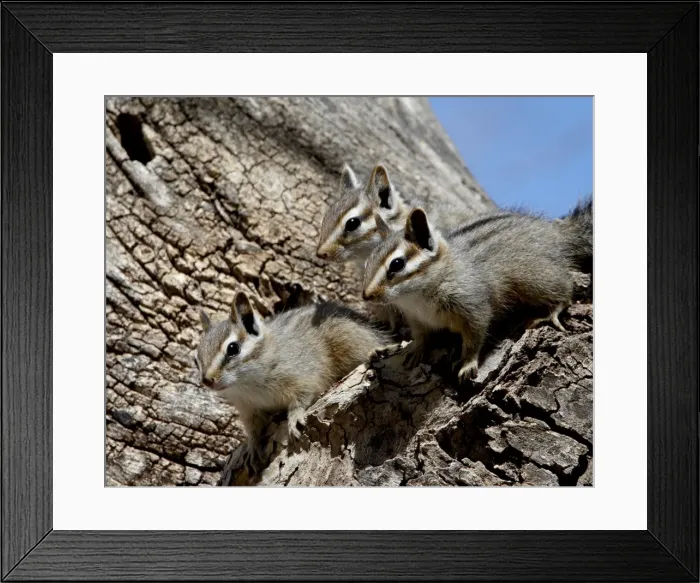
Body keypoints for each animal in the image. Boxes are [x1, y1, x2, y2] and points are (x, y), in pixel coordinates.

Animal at [195, 291, 390, 474]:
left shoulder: (304, 375)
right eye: (197, 358)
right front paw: (252, 446)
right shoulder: (249, 409)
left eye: (233, 348)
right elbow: (253, 429)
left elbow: (301, 398)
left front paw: (294, 417)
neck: (247, 385)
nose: (207, 381)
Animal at [361, 198, 593, 383]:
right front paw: (415, 349)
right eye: (367, 261)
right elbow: (421, 335)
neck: (415, 297)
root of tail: (556, 232)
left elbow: (474, 337)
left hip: (535, 279)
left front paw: (468, 363)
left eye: (397, 264)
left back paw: (553, 311)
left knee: (565, 287)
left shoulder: (473, 307)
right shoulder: (416, 318)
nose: (366, 296)